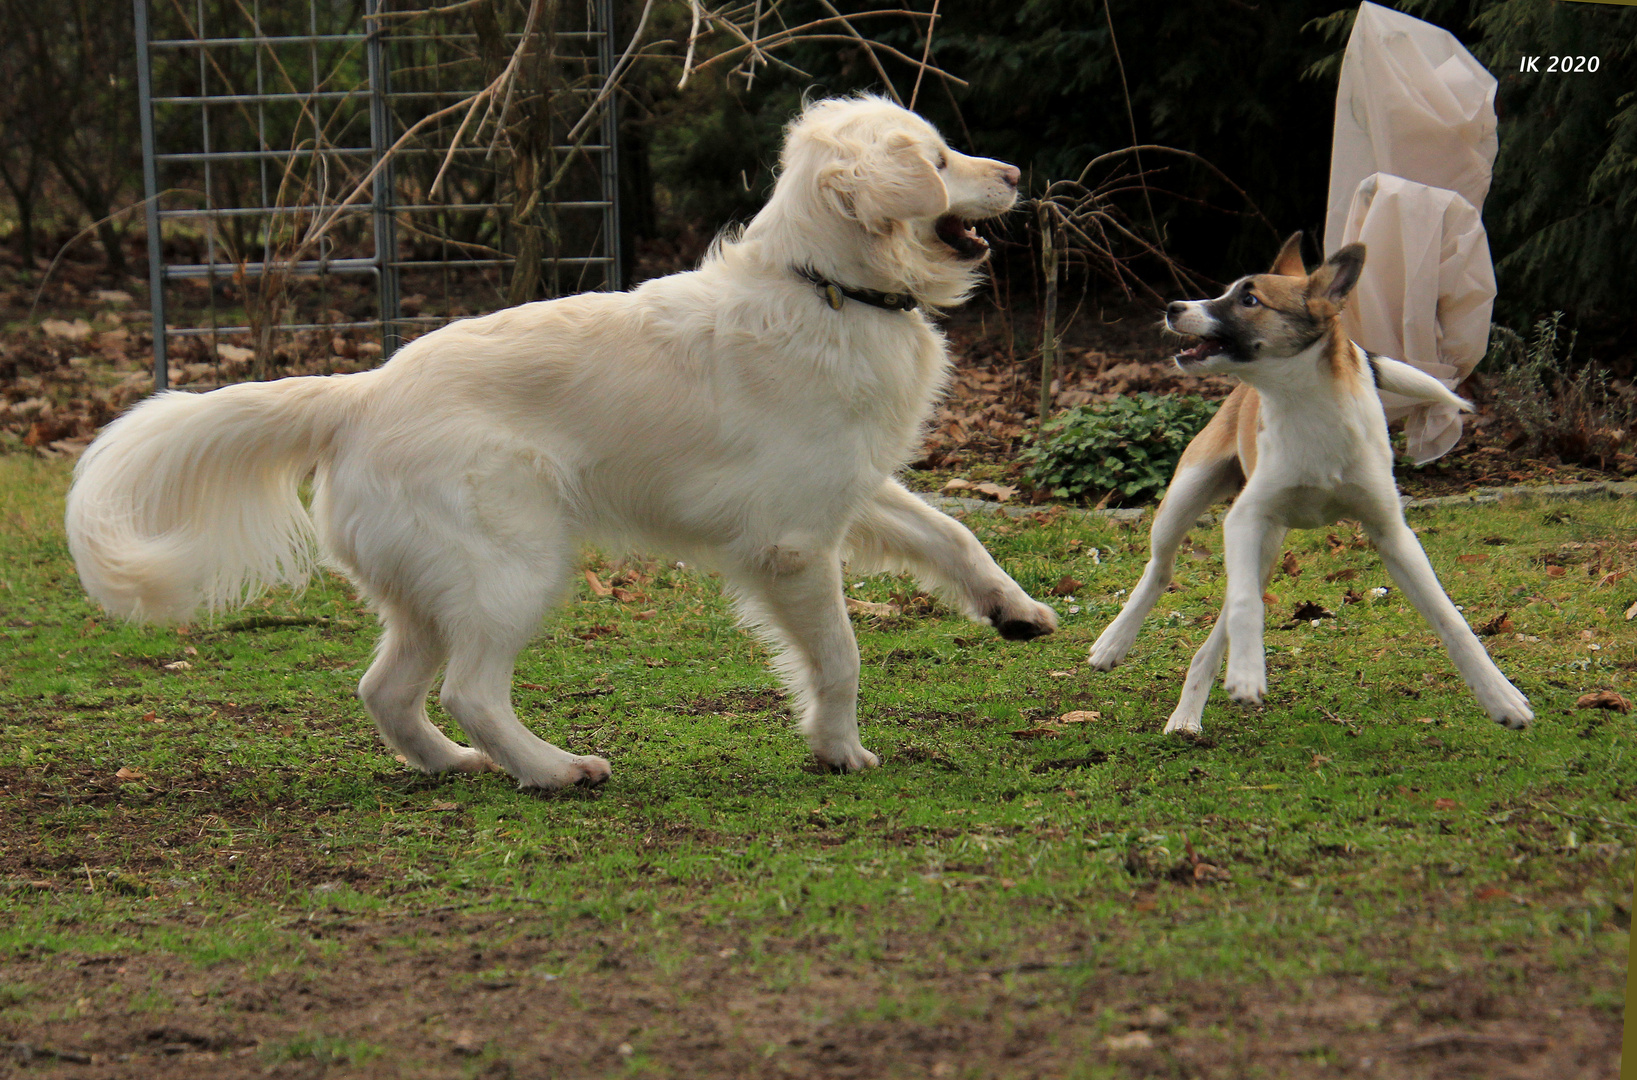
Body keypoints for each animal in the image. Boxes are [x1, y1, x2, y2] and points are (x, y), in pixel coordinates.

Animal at [63, 96, 1054, 788]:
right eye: (938, 158)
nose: (1014, 169)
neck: (830, 288)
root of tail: (361, 391)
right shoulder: (793, 543)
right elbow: (840, 656)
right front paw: (839, 748)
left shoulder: (853, 488)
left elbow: (954, 535)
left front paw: (1015, 610)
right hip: (514, 566)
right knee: (469, 689)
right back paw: (552, 768)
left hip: (432, 590)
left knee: (385, 691)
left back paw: (458, 765)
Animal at [1086, 230, 1532, 733]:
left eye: (1249, 299)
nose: (1173, 306)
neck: (1305, 405)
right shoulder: (1243, 518)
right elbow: (1245, 604)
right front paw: (1246, 673)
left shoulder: (1393, 535)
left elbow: (1450, 618)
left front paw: (1500, 697)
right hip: (1190, 496)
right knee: (1162, 570)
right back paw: (1117, 645)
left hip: (1265, 544)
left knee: (1218, 620)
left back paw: (1188, 711)